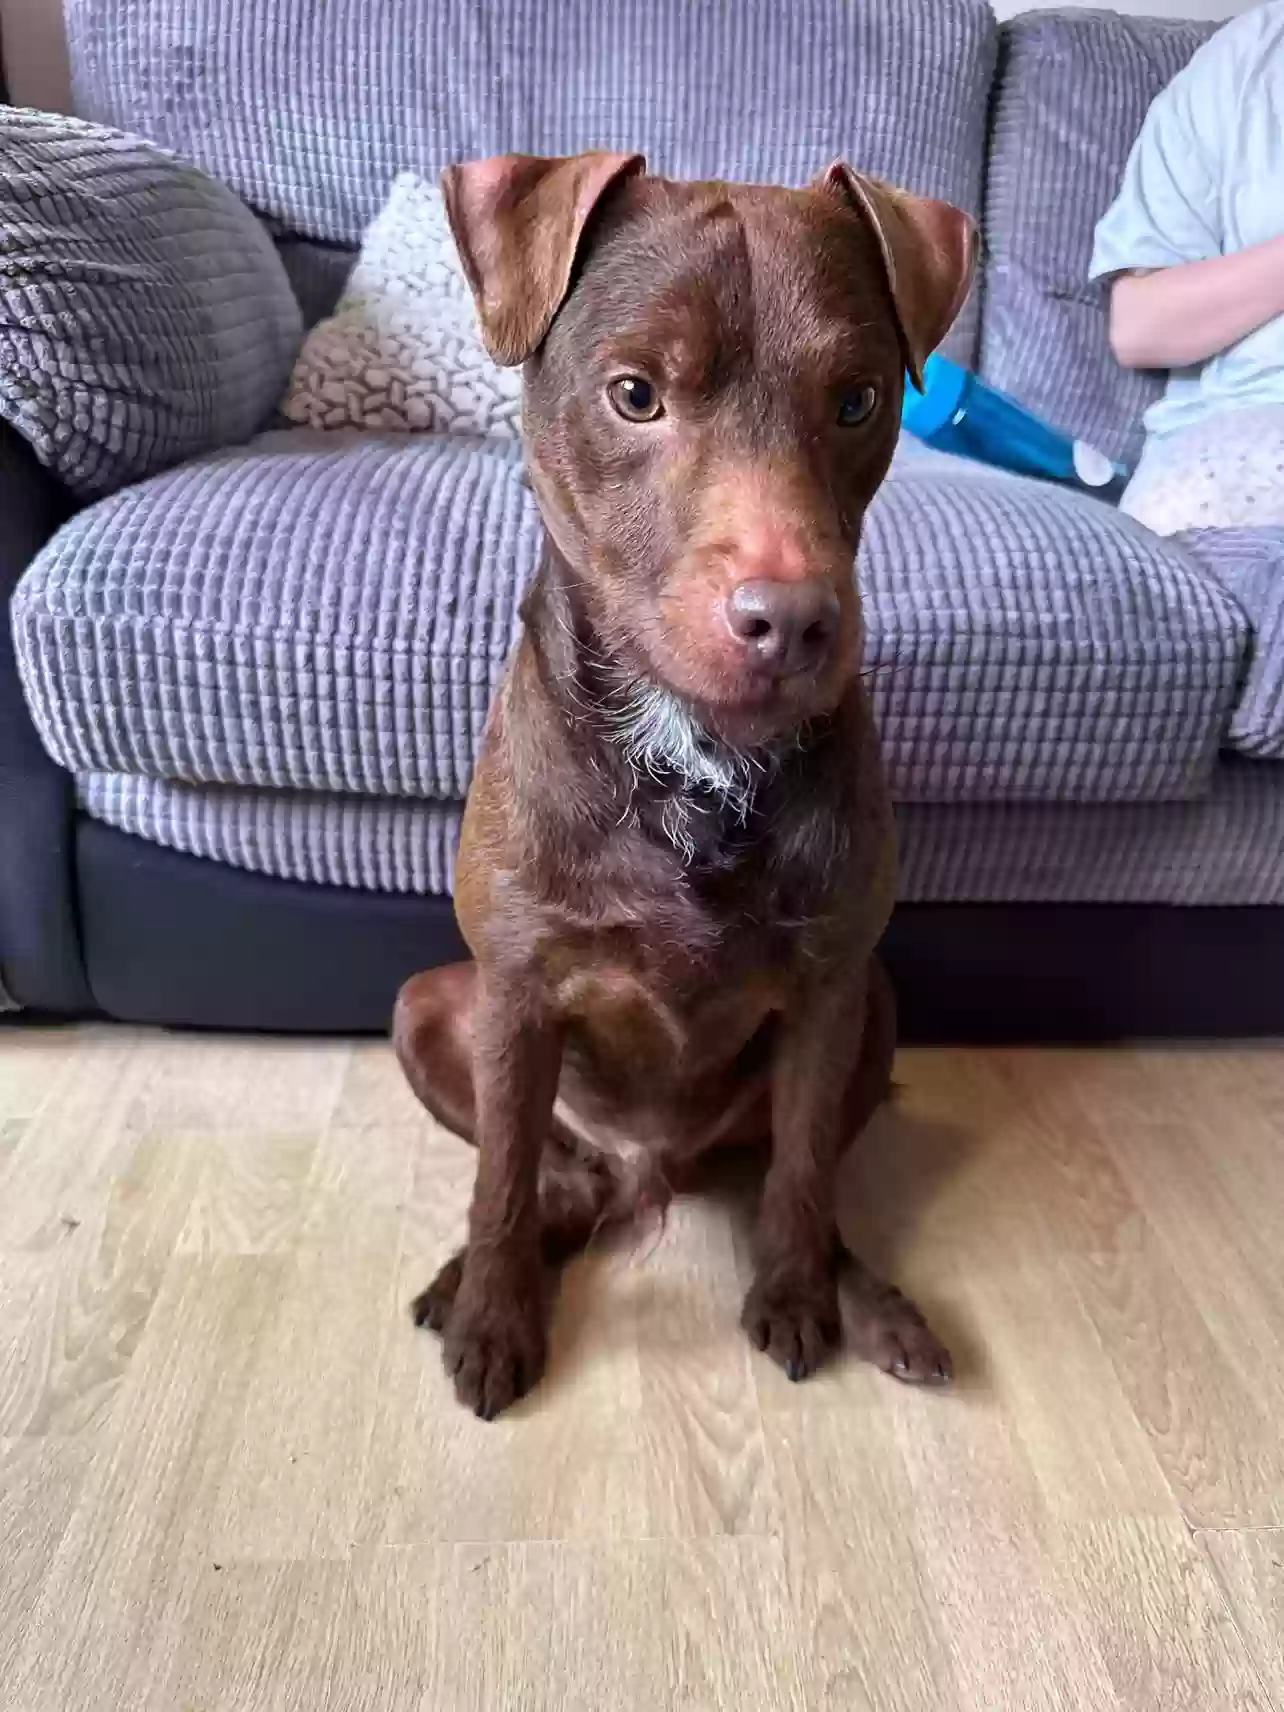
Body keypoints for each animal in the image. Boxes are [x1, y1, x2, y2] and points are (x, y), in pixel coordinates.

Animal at [392, 154, 972, 1417]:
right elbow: (502, 1175)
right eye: (634, 394)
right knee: (556, 1175)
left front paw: (798, 1294)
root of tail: (649, 1168)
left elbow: (800, 1173)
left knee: (783, 1172)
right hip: (431, 1005)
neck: (690, 759)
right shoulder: (515, 992)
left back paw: (862, 1291)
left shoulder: (828, 987)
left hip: (875, 1009)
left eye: (858, 400)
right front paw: (495, 1308)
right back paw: (486, 1269)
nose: (792, 620)